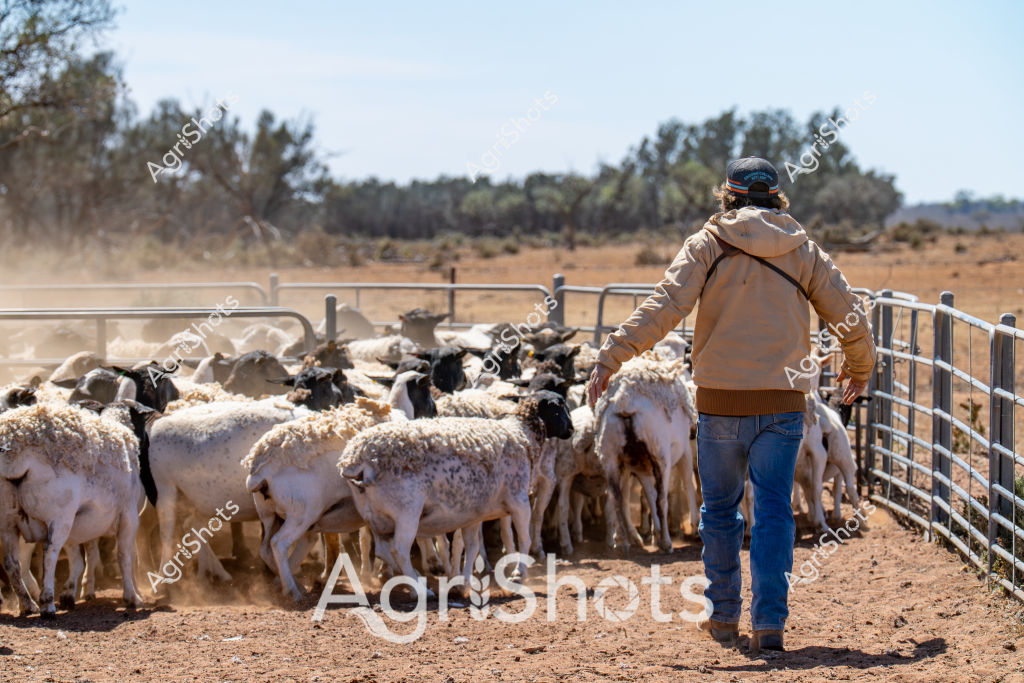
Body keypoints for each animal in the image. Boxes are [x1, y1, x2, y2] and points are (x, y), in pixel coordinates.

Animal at [0, 402, 146, 615]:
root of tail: (14, 455)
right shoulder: (128, 515)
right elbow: (124, 557)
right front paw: (132, 597)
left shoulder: (83, 524)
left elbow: (80, 558)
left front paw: (70, 593)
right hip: (60, 515)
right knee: (49, 553)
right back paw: (47, 603)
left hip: (8, 522)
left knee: (12, 563)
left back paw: (28, 604)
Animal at [340, 391, 574, 598]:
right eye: (559, 407)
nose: (571, 430)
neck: (521, 433)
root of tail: (358, 460)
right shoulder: (519, 500)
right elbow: (523, 539)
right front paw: (518, 575)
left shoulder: (474, 512)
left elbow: (471, 547)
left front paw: (463, 584)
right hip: (407, 511)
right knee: (399, 550)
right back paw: (422, 591)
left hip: (375, 516)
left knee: (382, 550)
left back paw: (413, 583)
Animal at [596, 353, 697, 556]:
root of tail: (625, 399)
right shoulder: (685, 450)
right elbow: (686, 486)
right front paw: (695, 525)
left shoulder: (640, 468)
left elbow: (648, 495)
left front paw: (655, 533)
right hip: (661, 455)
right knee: (662, 500)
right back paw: (666, 542)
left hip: (610, 457)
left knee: (616, 497)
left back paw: (623, 542)